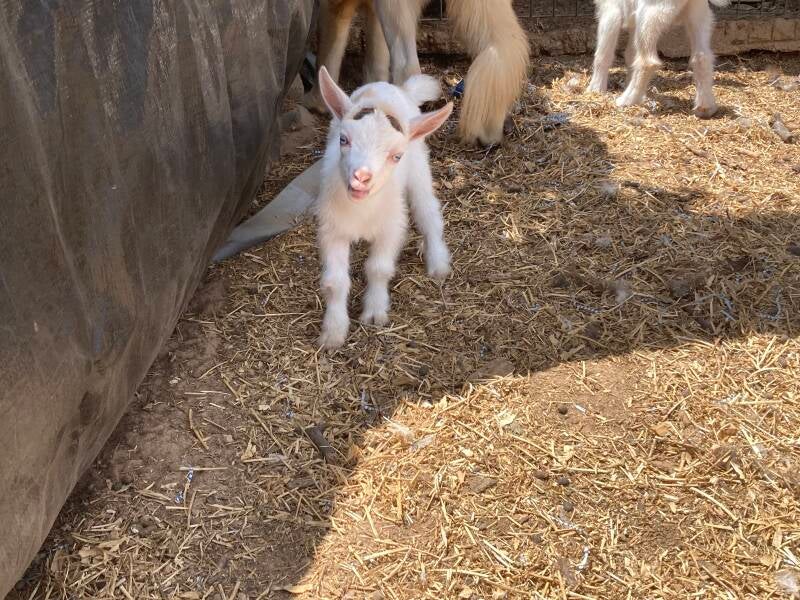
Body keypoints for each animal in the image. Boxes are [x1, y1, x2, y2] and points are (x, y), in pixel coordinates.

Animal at [304, 0, 529, 146]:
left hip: (395, 9)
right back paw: (490, 132)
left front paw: (316, 102)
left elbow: (329, 50)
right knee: (503, 51)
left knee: (407, 66)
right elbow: (376, 59)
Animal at [314, 67, 453, 350]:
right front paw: (333, 332)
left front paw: (374, 313)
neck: (362, 210)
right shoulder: (332, 230)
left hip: (419, 168)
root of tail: (390, 87)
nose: (361, 177)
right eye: (343, 140)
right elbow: (335, 282)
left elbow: (378, 269)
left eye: (396, 156)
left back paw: (438, 262)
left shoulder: (391, 228)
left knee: (428, 212)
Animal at [587, 0, 729, 118]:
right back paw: (705, 108)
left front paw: (595, 89)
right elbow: (630, 55)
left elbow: (603, 54)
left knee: (648, 62)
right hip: (698, 14)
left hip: (650, 16)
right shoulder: (632, 21)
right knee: (702, 57)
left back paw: (626, 100)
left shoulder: (610, 10)